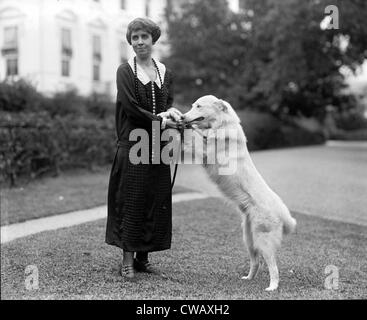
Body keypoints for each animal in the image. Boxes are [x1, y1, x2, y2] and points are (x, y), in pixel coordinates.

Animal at [183, 94, 298, 290]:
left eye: (198, 106)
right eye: (193, 106)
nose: (183, 117)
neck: (221, 125)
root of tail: (283, 213)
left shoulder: (206, 151)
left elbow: (193, 137)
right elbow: (196, 135)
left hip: (263, 241)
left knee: (273, 267)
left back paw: (272, 287)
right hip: (249, 240)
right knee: (256, 262)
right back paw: (248, 278)